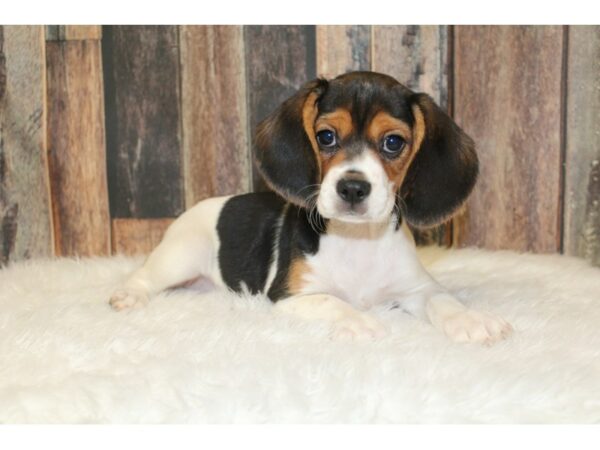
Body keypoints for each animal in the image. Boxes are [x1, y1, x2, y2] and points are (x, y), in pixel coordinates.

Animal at [110, 70, 512, 344]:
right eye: (326, 136)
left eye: (394, 142)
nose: (353, 187)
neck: (356, 242)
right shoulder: (290, 297)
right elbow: (333, 303)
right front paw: (362, 322)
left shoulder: (416, 287)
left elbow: (442, 301)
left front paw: (472, 320)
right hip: (179, 256)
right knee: (144, 276)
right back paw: (127, 295)